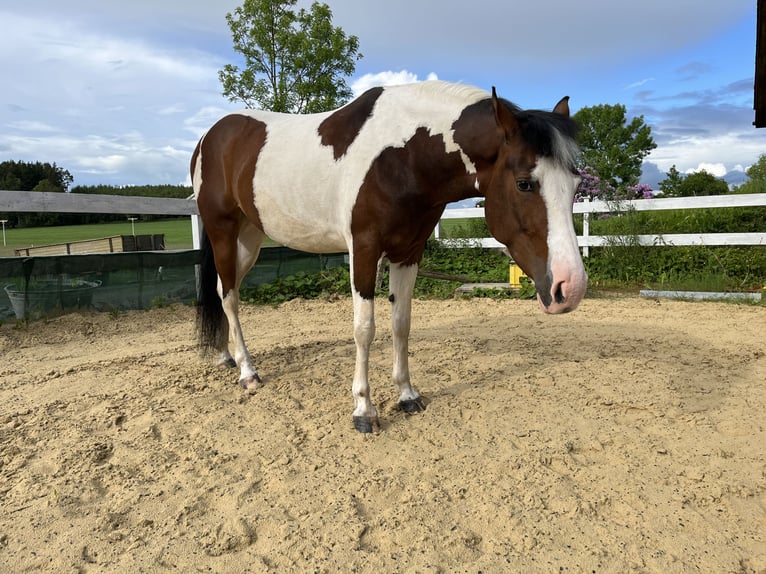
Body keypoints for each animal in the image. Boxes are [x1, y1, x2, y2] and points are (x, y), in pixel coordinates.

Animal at [192, 80, 588, 432]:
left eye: (576, 184)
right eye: (524, 183)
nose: (570, 288)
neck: (403, 155)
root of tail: (208, 138)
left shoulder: (408, 252)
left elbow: (401, 323)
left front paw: (407, 395)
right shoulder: (364, 250)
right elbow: (364, 329)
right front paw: (364, 410)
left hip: (250, 237)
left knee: (224, 291)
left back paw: (226, 355)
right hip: (224, 231)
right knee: (230, 297)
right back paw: (248, 372)